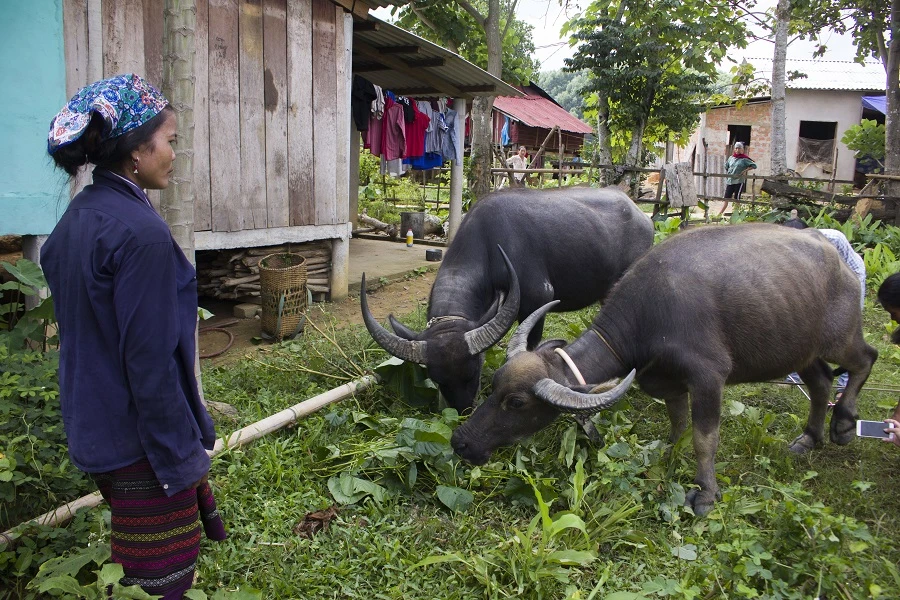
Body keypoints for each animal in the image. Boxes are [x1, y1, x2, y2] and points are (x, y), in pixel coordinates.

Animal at [358, 188, 652, 412]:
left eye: (474, 371)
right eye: (437, 379)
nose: (462, 410)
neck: (490, 245)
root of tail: (642, 217)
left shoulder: (538, 302)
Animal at [454, 223, 876, 512]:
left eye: (517, 403)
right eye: (493, 385)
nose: (461, 441)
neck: (650, 315)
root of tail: (838, 258)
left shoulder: (708, 379)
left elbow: (706, 438)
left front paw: (705, 494)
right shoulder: (667, 383)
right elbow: (678, 423)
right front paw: (667, 453)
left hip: (841, 338)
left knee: (865, 359)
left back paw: (843, 423)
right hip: (801, 351)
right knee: (820, 382)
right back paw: (809, 438)